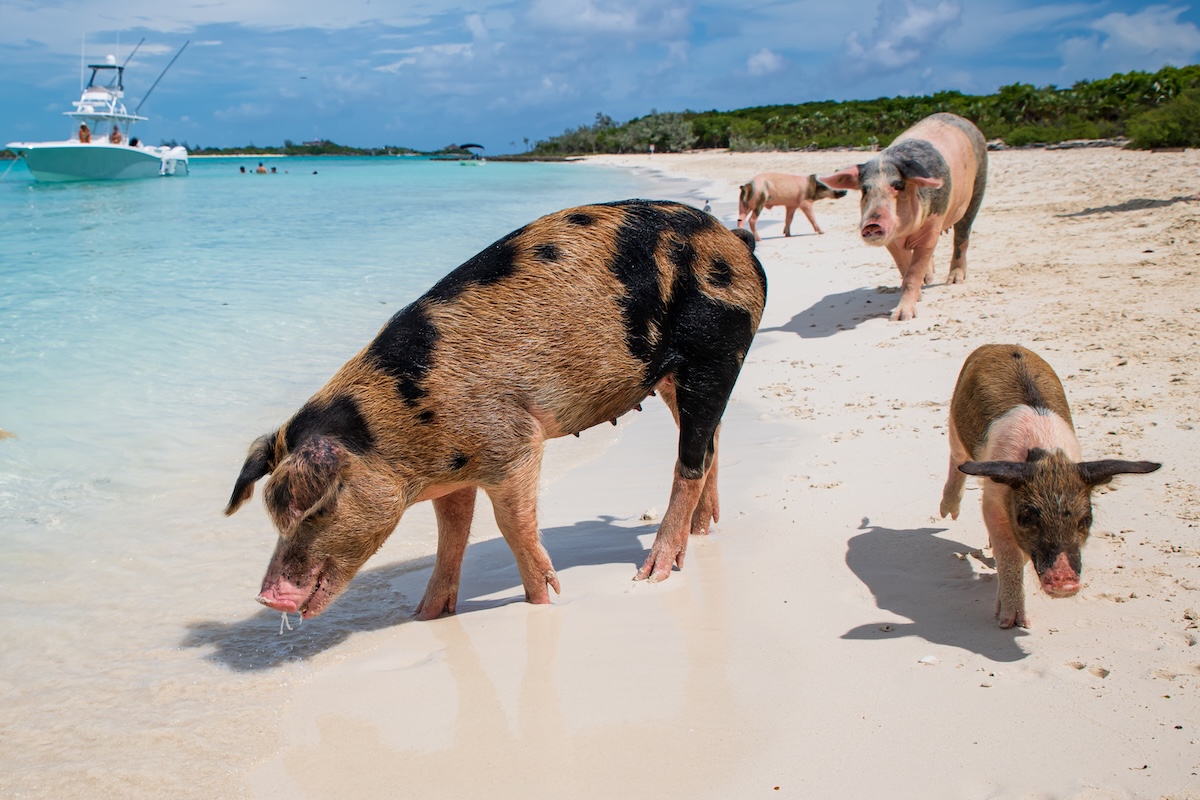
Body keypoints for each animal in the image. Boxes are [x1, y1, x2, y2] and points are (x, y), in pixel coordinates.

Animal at [225, 200, 767, 621]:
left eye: (315, 507)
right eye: (274, 512)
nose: (267, 597)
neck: (402, 430)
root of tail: (735, 240)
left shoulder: (514, 444)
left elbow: (511, 525)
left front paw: (542, 601)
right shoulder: (454, 473)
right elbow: (451, 533)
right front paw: (424, 614)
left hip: (718, 348)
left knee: (690, 460)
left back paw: (652, 574)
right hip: (679, 376)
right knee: (710, 441)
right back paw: (702, 530)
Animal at [819, 113, 987, 321]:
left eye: (898, 185)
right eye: (865, 189)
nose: (872, 223)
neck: (905, 233)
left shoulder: (932, 228)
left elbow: (913, 273)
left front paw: (900, 317)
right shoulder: (891, 241)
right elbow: (905, 267)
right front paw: (920, 294)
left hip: (978, 186)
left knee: (962, 236)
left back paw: (954, 281)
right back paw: (930, 278)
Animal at [939, 344, 1160, 628]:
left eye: (1086, 520)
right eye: (1026, 518)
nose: (1065, 584)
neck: (1048, 455)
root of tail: (1001, 345)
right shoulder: (993, 498)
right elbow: (1009, 555)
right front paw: (1010, 623)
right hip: (954, 422)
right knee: (957, 457)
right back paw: (948, 514)